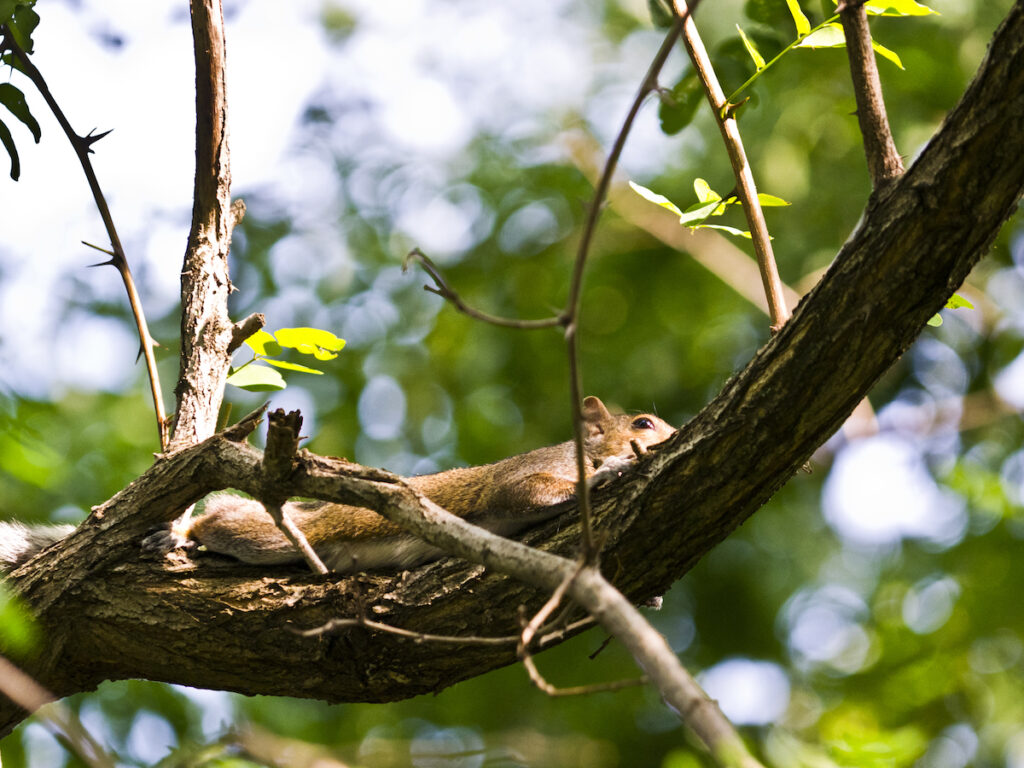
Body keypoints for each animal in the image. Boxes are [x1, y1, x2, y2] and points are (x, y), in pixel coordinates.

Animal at [0, 396, 674, 574]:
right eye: (642, 423)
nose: (667, 432)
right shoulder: (516, 483)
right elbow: (525, 494)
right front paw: (614, 470)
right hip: (269, 535)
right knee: (219, 523)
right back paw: (177, 537)